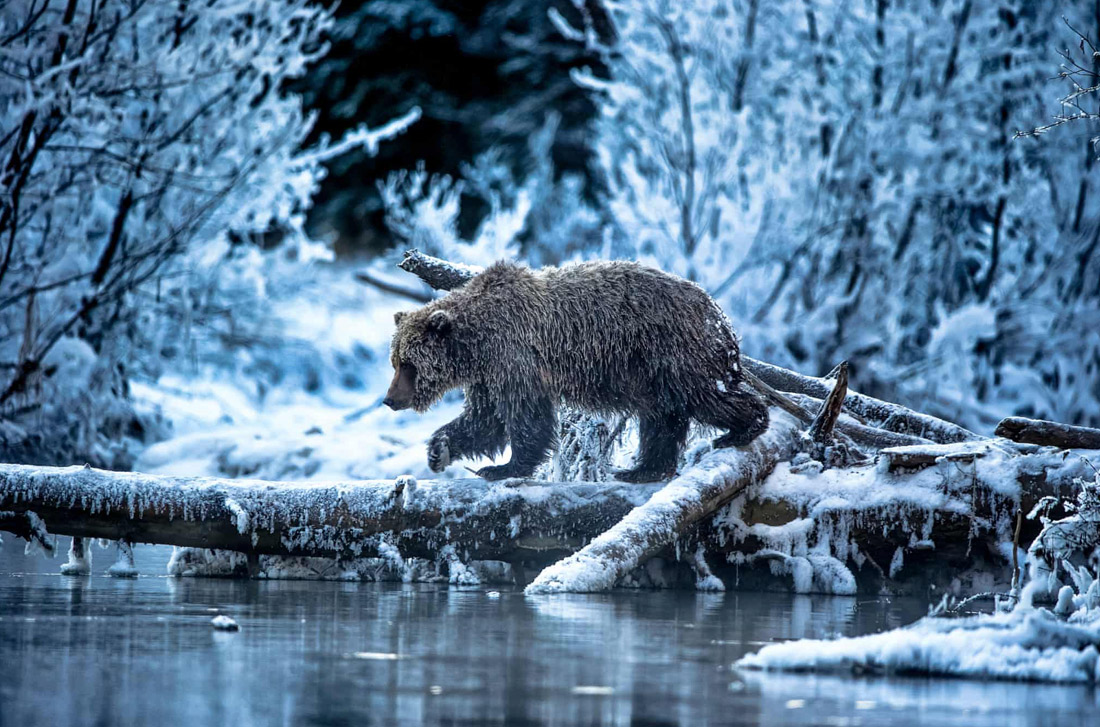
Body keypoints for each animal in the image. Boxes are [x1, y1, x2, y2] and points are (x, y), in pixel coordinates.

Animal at [384, 260, 769, 483]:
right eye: (396, 361)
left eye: (409, 364)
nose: (389, 399)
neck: (476, 344)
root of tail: (719, 315)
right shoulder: (488, 375)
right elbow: (484, 420)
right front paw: (439, 450)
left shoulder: (516, 357)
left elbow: (526, 417)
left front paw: (505, 467)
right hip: (650, 370)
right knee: (663, 416)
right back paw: (641, 469)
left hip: (672, 351)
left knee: (703, 396)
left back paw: (744, 427)